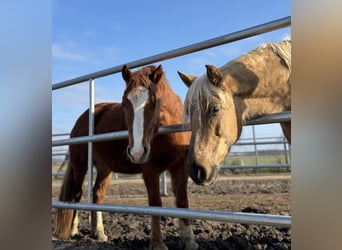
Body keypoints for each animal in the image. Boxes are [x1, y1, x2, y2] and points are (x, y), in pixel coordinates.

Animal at [53, 65, 198, 250]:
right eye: (124, 103)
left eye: (153, 102)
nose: (136, 152)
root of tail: (82, 118)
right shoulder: (150, 170)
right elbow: (155, 202)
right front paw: (157, 243)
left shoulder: (180, 167)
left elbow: (182, 201)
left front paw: (189, 241)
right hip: (80, 166)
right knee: (76, 194)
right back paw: (73, 230)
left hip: (105, 169)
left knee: (97, 195)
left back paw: (98, 233)